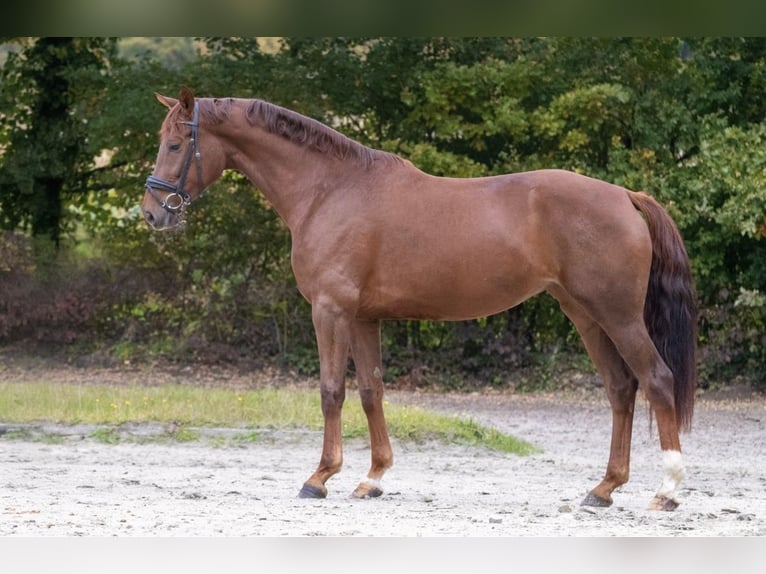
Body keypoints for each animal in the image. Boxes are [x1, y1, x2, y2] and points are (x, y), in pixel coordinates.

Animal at [141, 86, 700, 512]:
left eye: (176, 144)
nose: (152, 213)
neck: (329, 190)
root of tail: (625, 195)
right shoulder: (363, 318)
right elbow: (371, 390)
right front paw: (372, 478)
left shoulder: (330, 310)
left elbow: (331, 391)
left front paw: (319, 478)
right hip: (584, 314)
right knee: (621, 389)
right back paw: (603, 489)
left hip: (618, 315)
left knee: (656, 380)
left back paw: (667, 491)